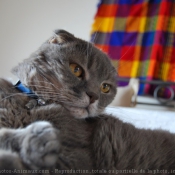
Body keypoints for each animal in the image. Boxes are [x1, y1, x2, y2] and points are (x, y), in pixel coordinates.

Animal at [0, 29, 175, 174]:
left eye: (105, 87)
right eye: (76, 69)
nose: (93, 96)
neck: (33, 101)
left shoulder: (76, 159)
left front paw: (37, 140)